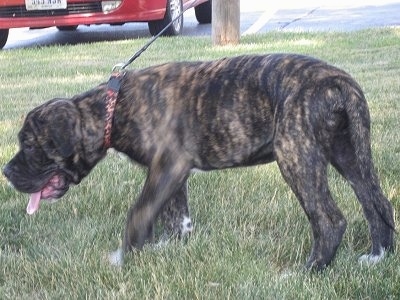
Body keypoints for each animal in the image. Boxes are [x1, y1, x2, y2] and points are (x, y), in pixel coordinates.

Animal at [2, 54, 394, 272]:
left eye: (30, 145)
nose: (6, 171)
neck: (112, 108)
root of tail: (337, 82)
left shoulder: (167, 167)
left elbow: (139, 213)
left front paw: (124, 257)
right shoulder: (172, 173)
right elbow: (175, 215)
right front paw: (169, 247)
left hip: (295, 153)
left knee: (330, 220)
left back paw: (307, 272)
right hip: (348, 153)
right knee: (377, 203)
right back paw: (378, 257)